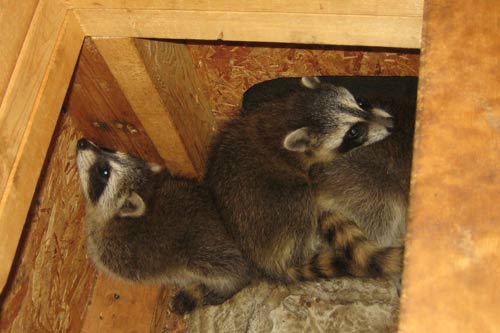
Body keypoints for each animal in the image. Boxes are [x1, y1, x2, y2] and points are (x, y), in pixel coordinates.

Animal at [76, 138, 252, 314]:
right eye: (109, 150)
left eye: (104, 172)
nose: (82, 142)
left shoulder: (117, 252)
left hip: (202, 249)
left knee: (227, 268)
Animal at [205, 76, 404, 282]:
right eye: (354, 132)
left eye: (362, 102)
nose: (391, 123)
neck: (293, 114)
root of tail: (267, 263)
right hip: (291, 205)